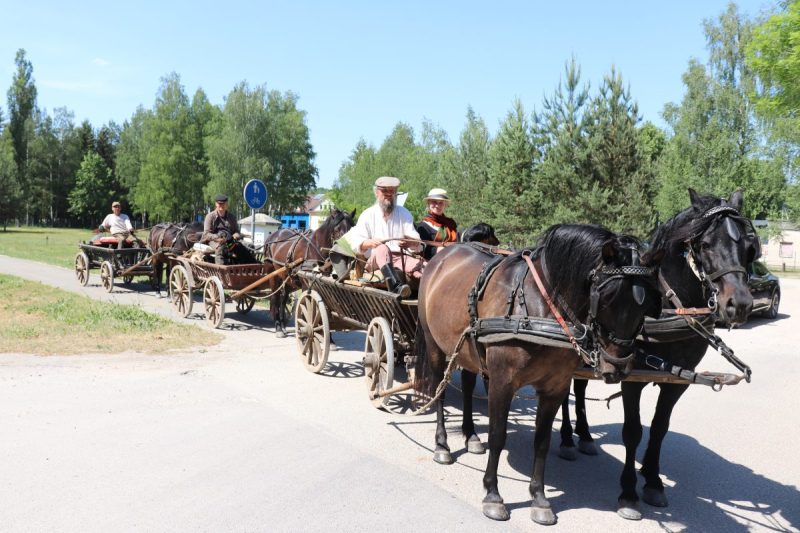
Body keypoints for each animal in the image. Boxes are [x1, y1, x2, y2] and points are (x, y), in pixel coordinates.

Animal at [412, 223, 664, 524]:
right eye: (606, 298)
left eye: (646, 305)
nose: (617, 365)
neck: (540, 309)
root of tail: (443, 256)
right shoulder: (502, 383)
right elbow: (498, 436)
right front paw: (493, 495)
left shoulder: (555, 387)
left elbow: (542, 442)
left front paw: (540, 499)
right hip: (434, 345)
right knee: (439, 392)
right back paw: (442, 446)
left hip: (467, 351)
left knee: (469, 384)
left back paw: (471, 436)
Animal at [552, 188, 760, 520]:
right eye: (705, 245)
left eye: (750, 248)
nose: (739, 305)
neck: (666, 308)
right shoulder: (629, 375)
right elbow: (633, 431)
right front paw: (628, 493)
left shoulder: (677, 380)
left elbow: (660, 428)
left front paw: (652, 481)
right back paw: (567, 439)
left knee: (580, 388)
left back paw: (583, 436)